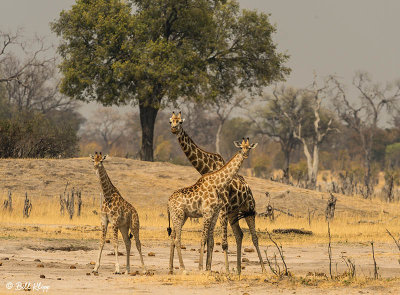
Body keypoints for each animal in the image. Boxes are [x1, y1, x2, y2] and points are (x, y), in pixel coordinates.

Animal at [169, 112, 266, 276]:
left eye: (180, 121)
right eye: (171, 121)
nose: (174, 129)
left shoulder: (220, 211)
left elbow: (218, 241)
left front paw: (216, 268)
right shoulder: (216, 212)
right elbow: (211, 240)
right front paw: (207, 268)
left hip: (248, 210)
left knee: (253, 237)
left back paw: (261, 269)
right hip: (229, 213)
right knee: (239, 235)